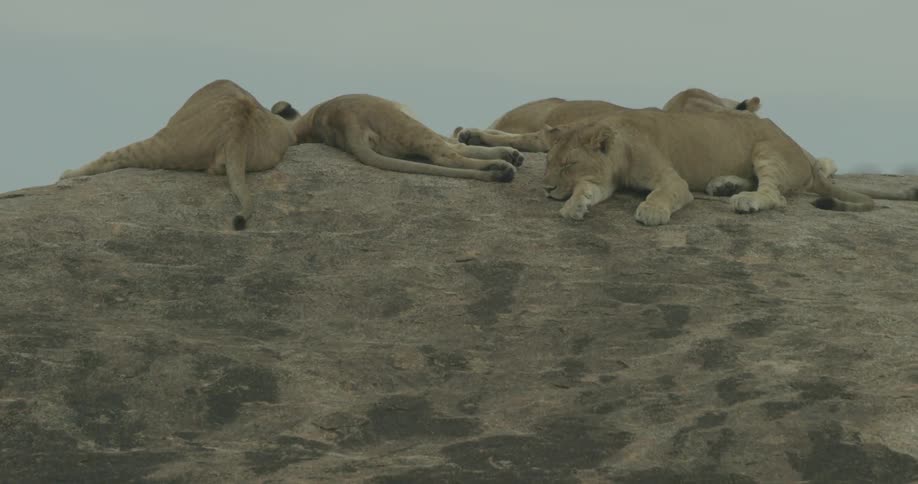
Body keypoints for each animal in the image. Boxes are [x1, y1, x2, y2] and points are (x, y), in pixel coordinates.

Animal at [273, 94, 523, 183]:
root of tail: (346, 121)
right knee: (447, 155)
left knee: (450, 150)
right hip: (407, 123)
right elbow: (453, 142)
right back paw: (503, 164)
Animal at [541, 110, 917, 225]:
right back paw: (725, 185)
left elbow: (663, 194)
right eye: (549, 162)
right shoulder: (605, 180)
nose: (546, 188)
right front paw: (575, 205)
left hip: (768, 148)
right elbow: (588, 189)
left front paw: (652, 212)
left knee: (776, 194)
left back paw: (744, 200)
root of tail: (809, 164)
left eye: (569, 163)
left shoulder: (672, 180)